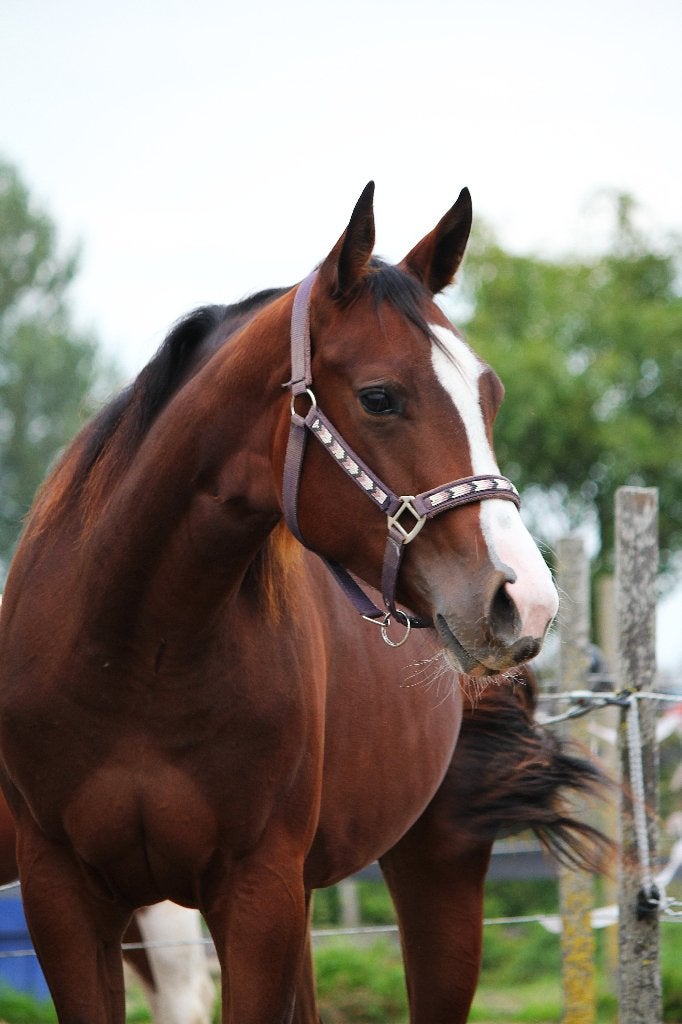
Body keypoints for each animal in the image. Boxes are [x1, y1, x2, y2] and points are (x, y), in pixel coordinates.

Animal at [0, 182, 559, 1023]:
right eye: (379, 397)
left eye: (488, 394)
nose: (524, 599)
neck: (133, 652)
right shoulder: (61, 894)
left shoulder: (257, 893)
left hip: (438, 866)